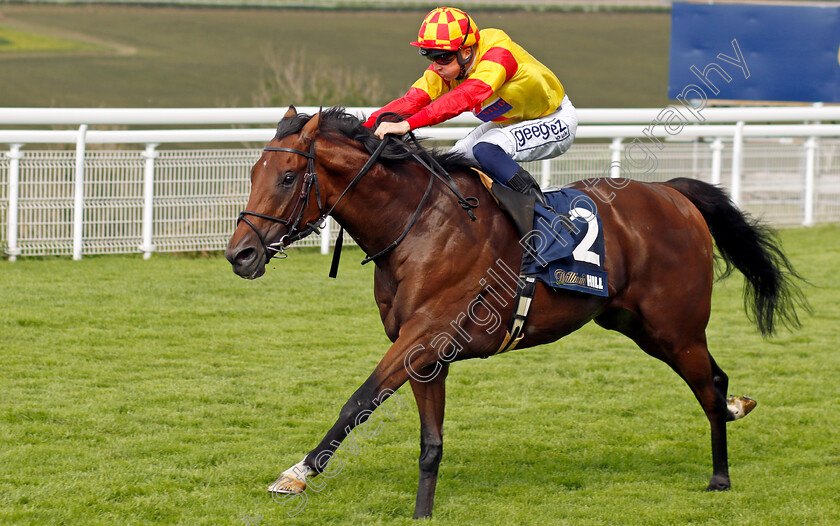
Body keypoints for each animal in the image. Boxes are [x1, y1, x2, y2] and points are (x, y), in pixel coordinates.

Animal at [225, 106, 808, 520]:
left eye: (285, 178)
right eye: (252, 172)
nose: (240, 255)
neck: (418, 225)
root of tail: (673, 194)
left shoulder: (423, 335)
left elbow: (358, 402)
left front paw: (295, 475)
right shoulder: (426, 354)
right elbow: (430, 441)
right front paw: (422, 512)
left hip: (675, 326)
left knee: (708, 384)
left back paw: (720, 476)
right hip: (637, 325)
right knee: (714, 380)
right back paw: (736, 410)